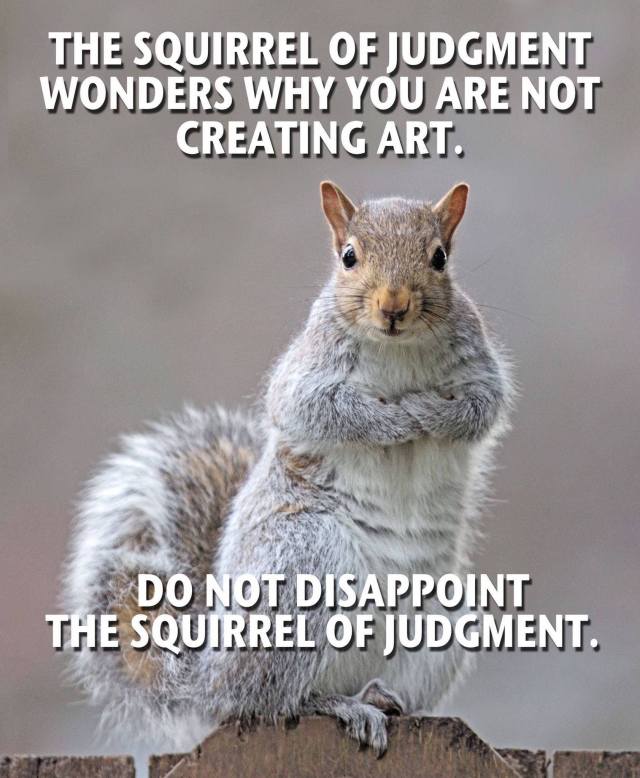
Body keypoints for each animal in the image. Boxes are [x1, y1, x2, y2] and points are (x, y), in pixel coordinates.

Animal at [65, 181, 513, 754]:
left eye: (439, 257)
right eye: (349, 257)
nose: (394, 306)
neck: (399, 349)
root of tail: (207, 682)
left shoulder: (478, 365)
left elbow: (481, 407)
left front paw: (431, 413)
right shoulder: (307, 373)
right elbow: (318, 410)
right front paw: (395, 420)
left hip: (449, 613)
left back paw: (383, 697)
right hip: (303, 562)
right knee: (275, 702)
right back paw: (341, 705)